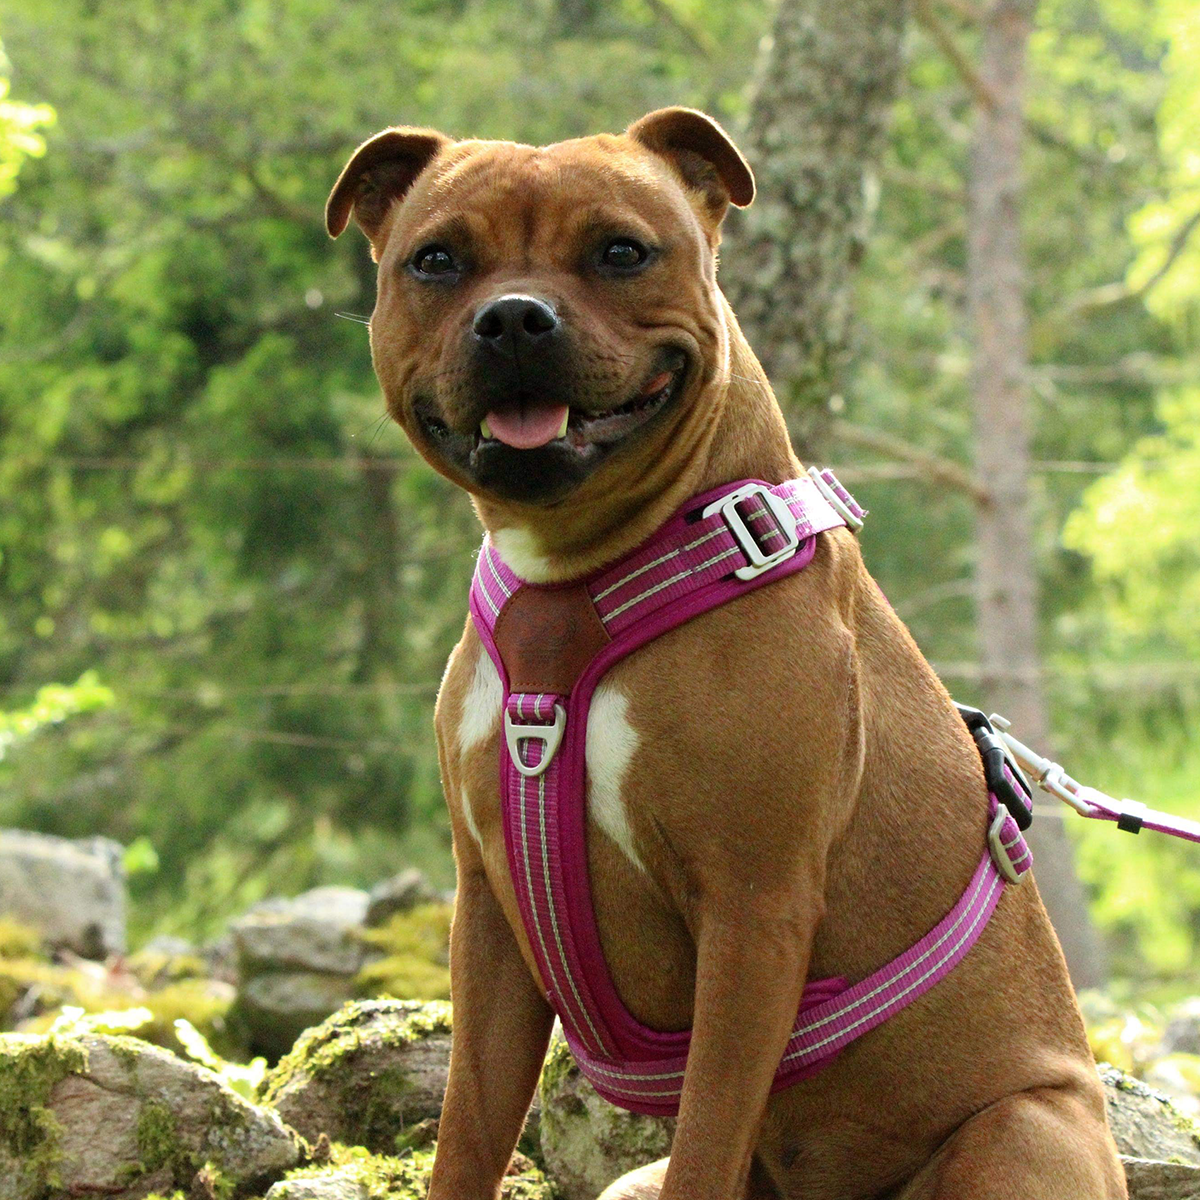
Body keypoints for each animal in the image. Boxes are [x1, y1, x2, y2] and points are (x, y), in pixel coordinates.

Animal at [326, 108, 1123, 1195]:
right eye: (437, 260)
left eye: (622, 252)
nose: (516, 318)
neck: (579, 579)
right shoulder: (488, 917)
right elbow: (469, 1133)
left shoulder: (753, 916)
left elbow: (706, 1138)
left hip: (1018, 1134)